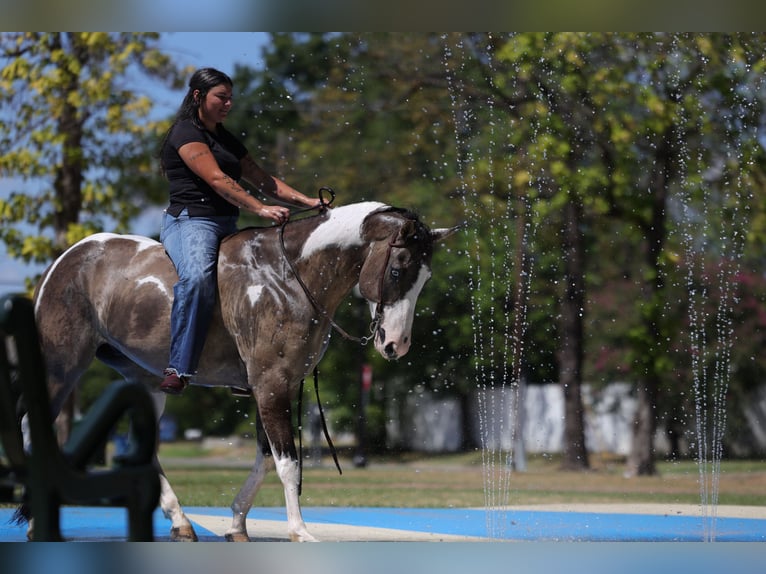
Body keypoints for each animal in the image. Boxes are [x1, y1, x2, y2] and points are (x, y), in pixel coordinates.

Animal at [29, 201, 459, 542]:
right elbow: (287, 464)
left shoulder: (275, 387)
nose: (396, 344)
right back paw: (38, 523)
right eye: (398, 270)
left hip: (147, 383)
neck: (289, 275)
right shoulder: (271, 385)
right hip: (60, 367)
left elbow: (267, 458)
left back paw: (180, 521)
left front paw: (237, 523)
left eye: (425, 277)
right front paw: (299, 531)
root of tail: (68, 257)